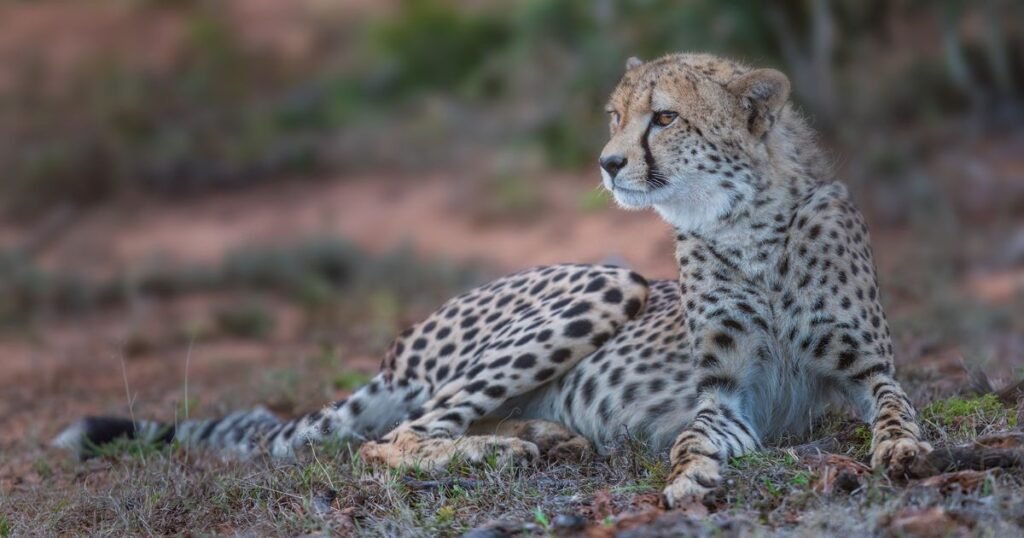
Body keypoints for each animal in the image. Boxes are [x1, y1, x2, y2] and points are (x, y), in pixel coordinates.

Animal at [54, 52, 932, 507]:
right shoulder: (724, 394)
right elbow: (693, 434)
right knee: (390, 441)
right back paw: (508, 451)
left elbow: (894, 407)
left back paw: (545, 436)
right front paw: (688, 474)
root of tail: (395, 351)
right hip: (607, 282)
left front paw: (899, 450)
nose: (607, 163)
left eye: (665, 118)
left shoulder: (864, 368)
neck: (744, 222)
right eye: (616, 117)